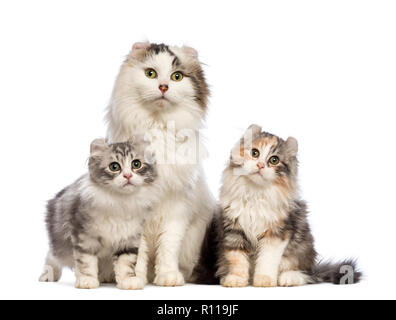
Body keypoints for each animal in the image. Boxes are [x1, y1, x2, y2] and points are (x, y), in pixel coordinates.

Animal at [38, 139, 158, 288]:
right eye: (114, 167)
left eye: (136, 164)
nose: (128, 175)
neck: (121, 202)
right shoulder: (84, 237)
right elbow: (86, 263)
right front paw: (87, 281)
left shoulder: (129, 239)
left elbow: (126, 263)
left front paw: (128, 281)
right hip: (59, 245)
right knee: (51, 256)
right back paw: (47, 276)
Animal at [105, 42, 215, 288]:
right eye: (150, 74)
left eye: (177, 76)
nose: (164, 86)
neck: (157, 129)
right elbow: (139, 253)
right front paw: (134, 279)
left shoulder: (176, 207)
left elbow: (168, 248)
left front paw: (168, 277)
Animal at [215, 125, 360, 288]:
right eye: (254, 153)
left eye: (274, 160)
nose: (260, 165)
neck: (256, 193)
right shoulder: (234, 231)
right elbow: (237, 260)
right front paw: (236, 279)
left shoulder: (276, 233)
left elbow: (266, 260)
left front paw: (264, 280)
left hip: (301, 250)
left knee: (305, 274)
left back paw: (288, 278)